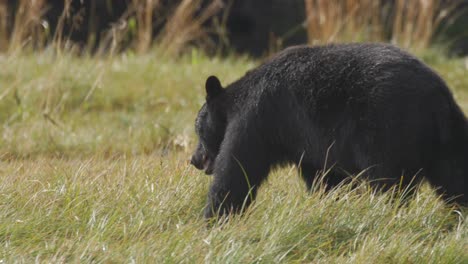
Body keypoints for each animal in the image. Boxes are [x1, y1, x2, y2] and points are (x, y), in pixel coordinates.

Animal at [190, 42, 468, 218]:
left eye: (198, 129)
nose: (193, 159)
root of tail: (438, 95)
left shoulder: (257, 119)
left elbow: (238, 168)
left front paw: (214, 218)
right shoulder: (311, 142)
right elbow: (326, 179)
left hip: (388, 130)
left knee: (388, 181)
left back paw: (383, 212)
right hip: (446, 138)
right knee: (455, 176)